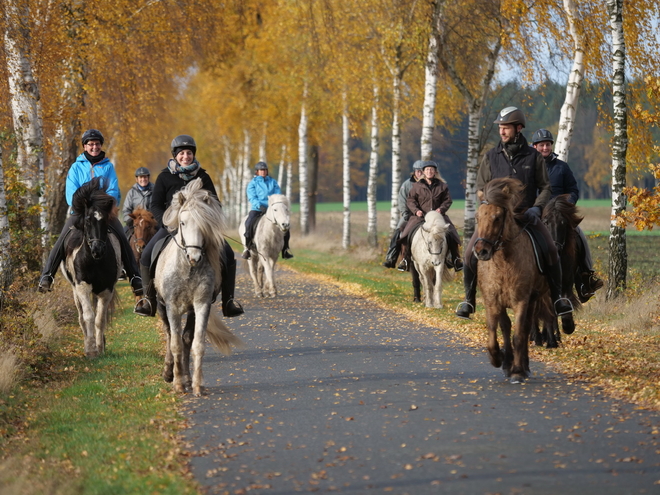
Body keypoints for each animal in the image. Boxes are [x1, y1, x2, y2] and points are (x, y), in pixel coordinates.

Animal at [62, 178, 121, 356]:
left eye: (105, 221)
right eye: (88, 220)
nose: (97, 250)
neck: (94, 261)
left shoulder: (107, 289)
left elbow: (100, 319)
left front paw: (100, 347)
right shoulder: (82, 287)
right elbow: (88, 316)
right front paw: (90, 349)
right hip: (75, 291)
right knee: (82, 317)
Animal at [155, 177, 242, 396]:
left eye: (205, 225)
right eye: (182, 222)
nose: (194, 257)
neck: (188, 269)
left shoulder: (201, 304)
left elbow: (196, 343)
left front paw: (195, 385)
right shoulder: (172, 306)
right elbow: (175, 344)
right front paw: (177, 383)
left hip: (191, 310)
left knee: (186, 337)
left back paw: (186, 376)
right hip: (160, 306)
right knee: (170, 335)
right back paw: (169, 372)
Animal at [474, 178, 552, 384]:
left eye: (497, 218)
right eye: (477, 217)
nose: (481, 251)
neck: (503, 263)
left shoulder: (521, 301)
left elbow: (518, 334)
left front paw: (517, 370)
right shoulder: (493, 301)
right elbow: (494, 330)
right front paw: (498, 358)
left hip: (533, 300)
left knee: (524, 329)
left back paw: (523, 366)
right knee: (507, 327)